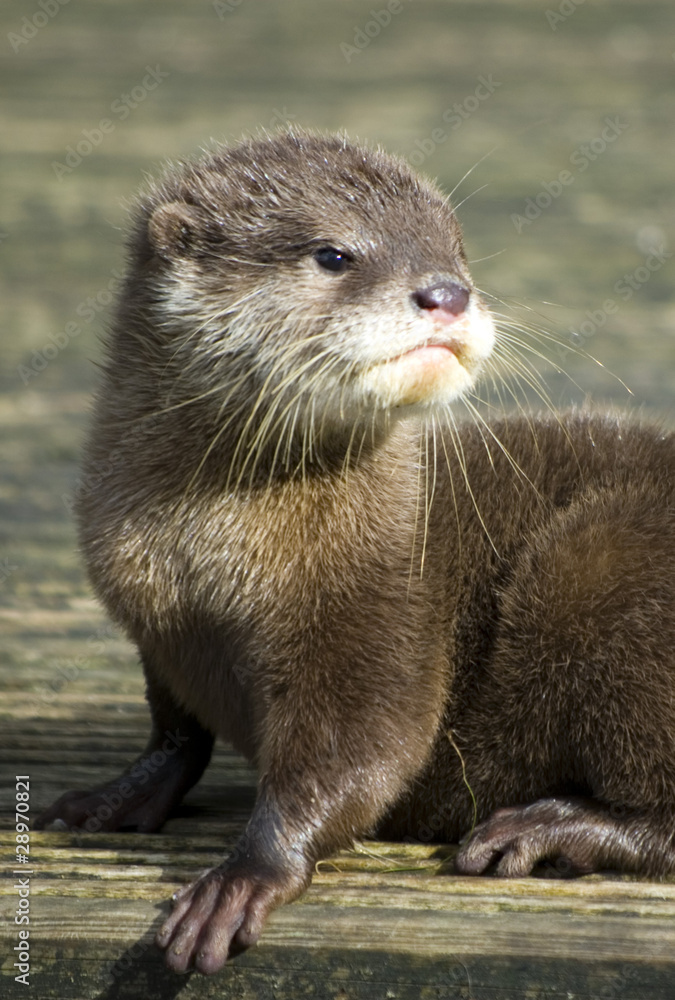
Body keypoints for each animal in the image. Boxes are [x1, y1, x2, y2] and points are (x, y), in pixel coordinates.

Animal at [36, 128, 675, 975]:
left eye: (456, 249)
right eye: (333, 254)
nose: (446, 292)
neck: (203, 559)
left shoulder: (378, 606)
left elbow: (362, 754)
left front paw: (242, 877)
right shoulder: (154, 626)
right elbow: (177, 732)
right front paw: (111, 798)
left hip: (598, 563)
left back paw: (544, 828)